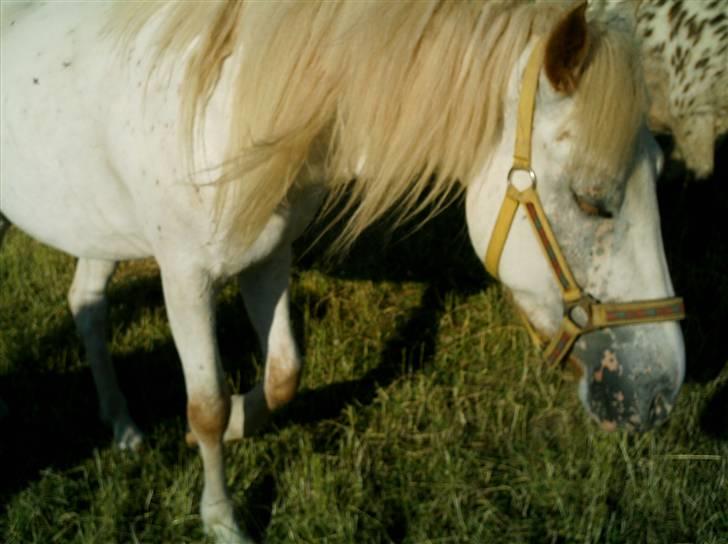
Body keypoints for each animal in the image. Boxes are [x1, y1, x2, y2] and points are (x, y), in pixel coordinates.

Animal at [0, 1, 684, 544]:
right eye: (592, 200)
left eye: (660, 170)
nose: (659, 393)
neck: (232, 103)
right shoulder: (184, 277)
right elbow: (206, 406)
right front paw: (220, 518)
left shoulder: (268, 255)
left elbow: (282, 375)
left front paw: (236, 428)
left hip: (98, 227)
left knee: (87, 307)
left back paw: (122, 429)